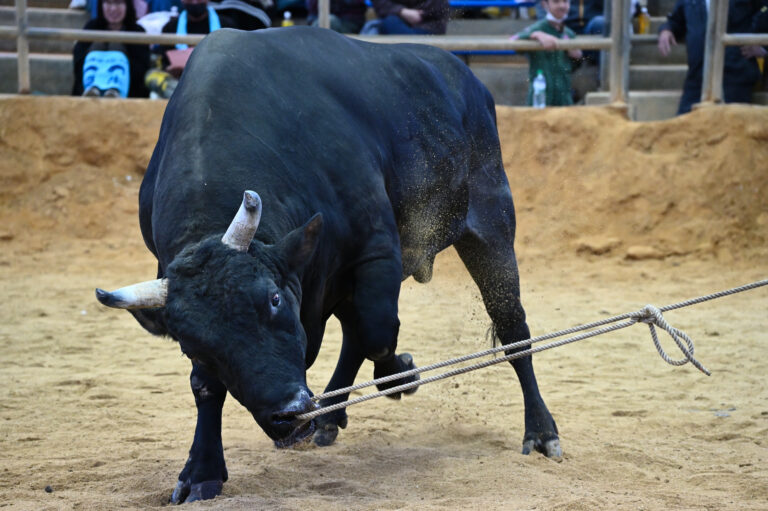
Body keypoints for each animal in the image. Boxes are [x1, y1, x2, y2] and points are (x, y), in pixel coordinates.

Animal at [96, 26, 560, 503]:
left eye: (274, 301)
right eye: (193, 344)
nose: (288, 414)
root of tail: (467, 80)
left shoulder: (377, 252)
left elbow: (378, 333)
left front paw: (400, 372)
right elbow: (206, 386)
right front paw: (201, 470)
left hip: (491, 226)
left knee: (511, 329)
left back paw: (541, 431)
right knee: (355, 332)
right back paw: (329, 416)